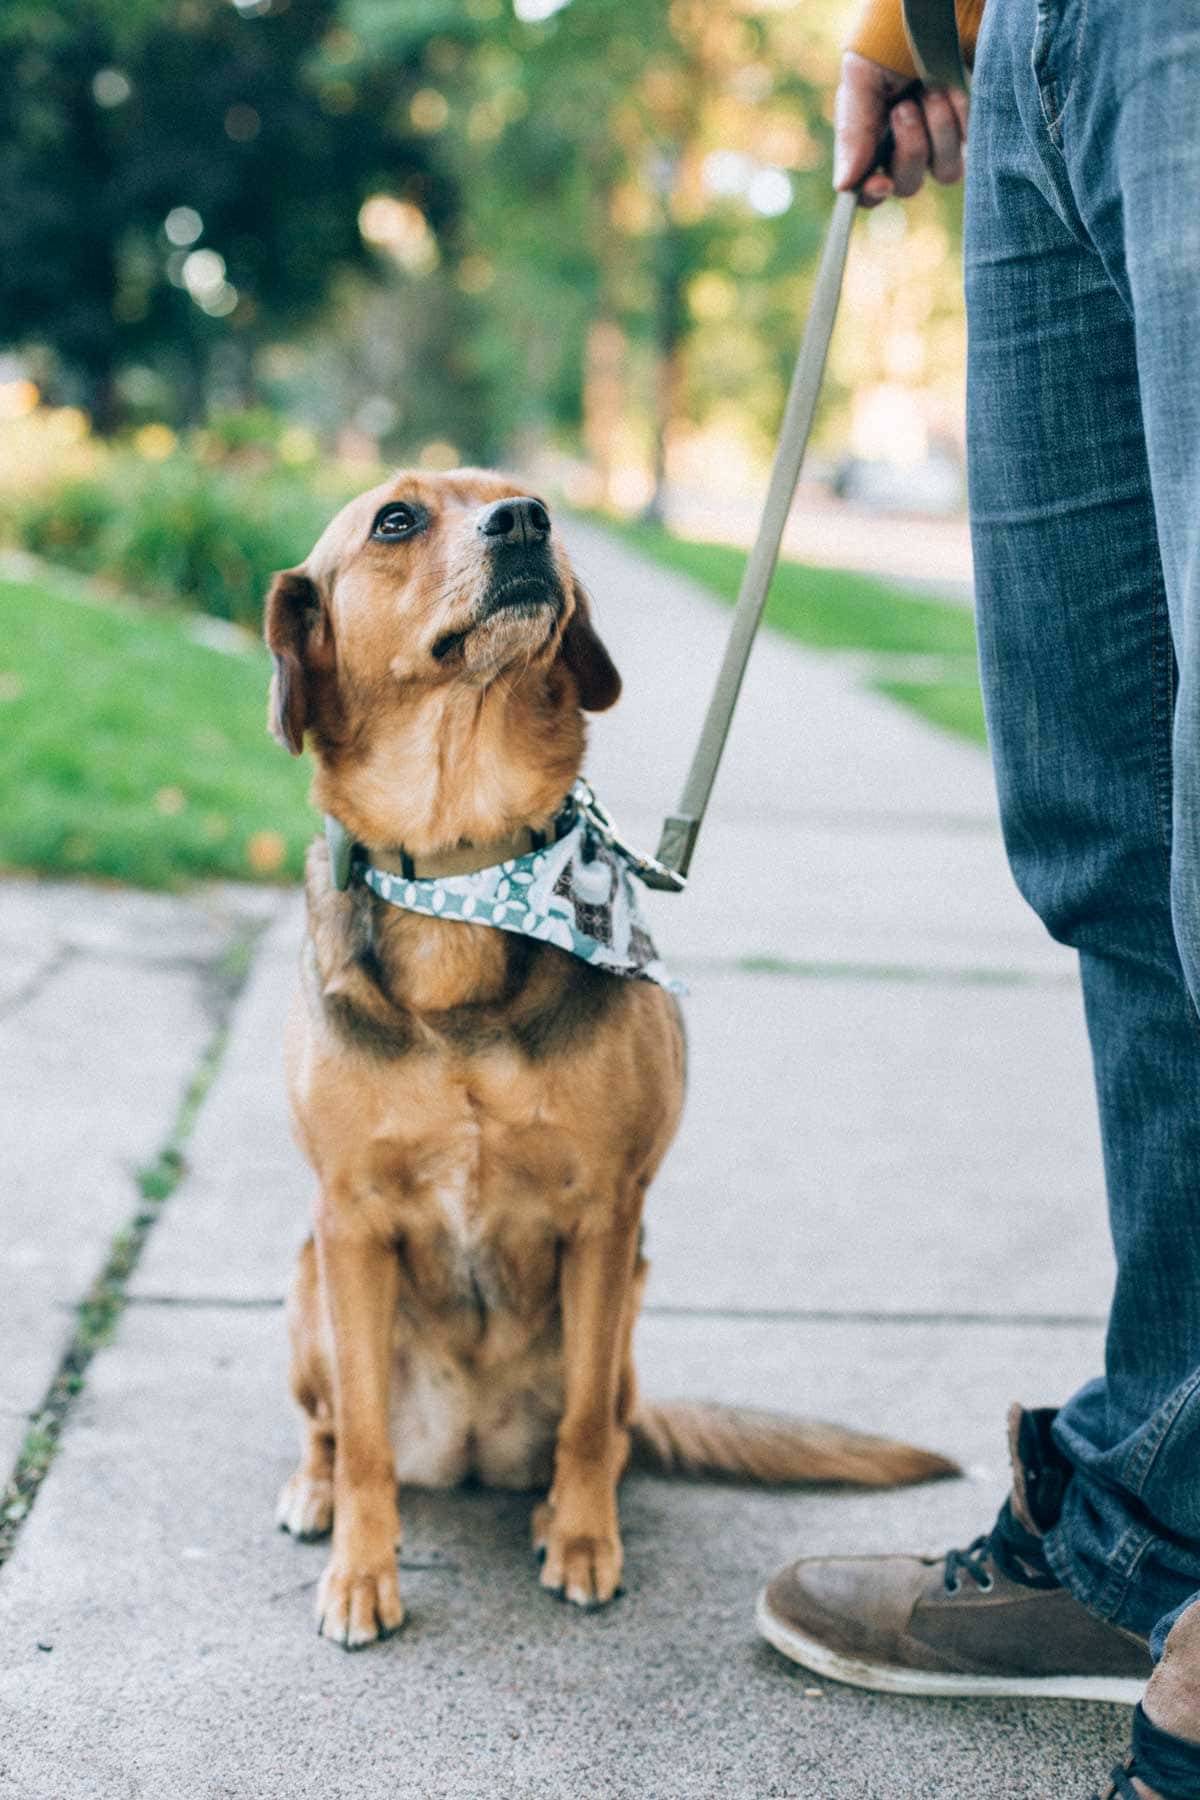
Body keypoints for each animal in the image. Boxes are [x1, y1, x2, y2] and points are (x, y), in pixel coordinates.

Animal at [262, 468, 957, 1648]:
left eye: (519, 497)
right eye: (396, 519)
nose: (527, 523)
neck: (469, 865)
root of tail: (467, 1449)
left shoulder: (605, 1217)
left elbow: (586, 1418)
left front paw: (586, 1543)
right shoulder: (350, 1220)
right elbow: (362, 1443)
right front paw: (363, 1572)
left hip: (626, 1311)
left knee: (608, 1424)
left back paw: (551, 1508)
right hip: (310, 1284)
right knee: (336, 1429)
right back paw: (317, 1494)